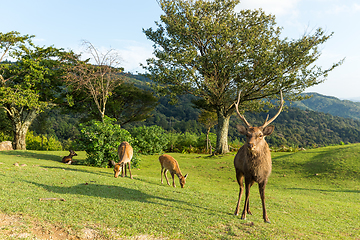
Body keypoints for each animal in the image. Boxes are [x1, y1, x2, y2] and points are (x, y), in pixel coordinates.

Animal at [233, 90, 284, 223]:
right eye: (247, 134)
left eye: (260, 135)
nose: (250, 145)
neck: (257, 169)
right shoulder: (247, 174)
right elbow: (247, 193)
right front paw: (243, 215)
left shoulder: (265, 177)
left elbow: (263, 196)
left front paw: (266, 218)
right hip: (238, 171)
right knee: (242, 189)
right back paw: (237, 211)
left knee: (248, 190)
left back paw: (249, 210)